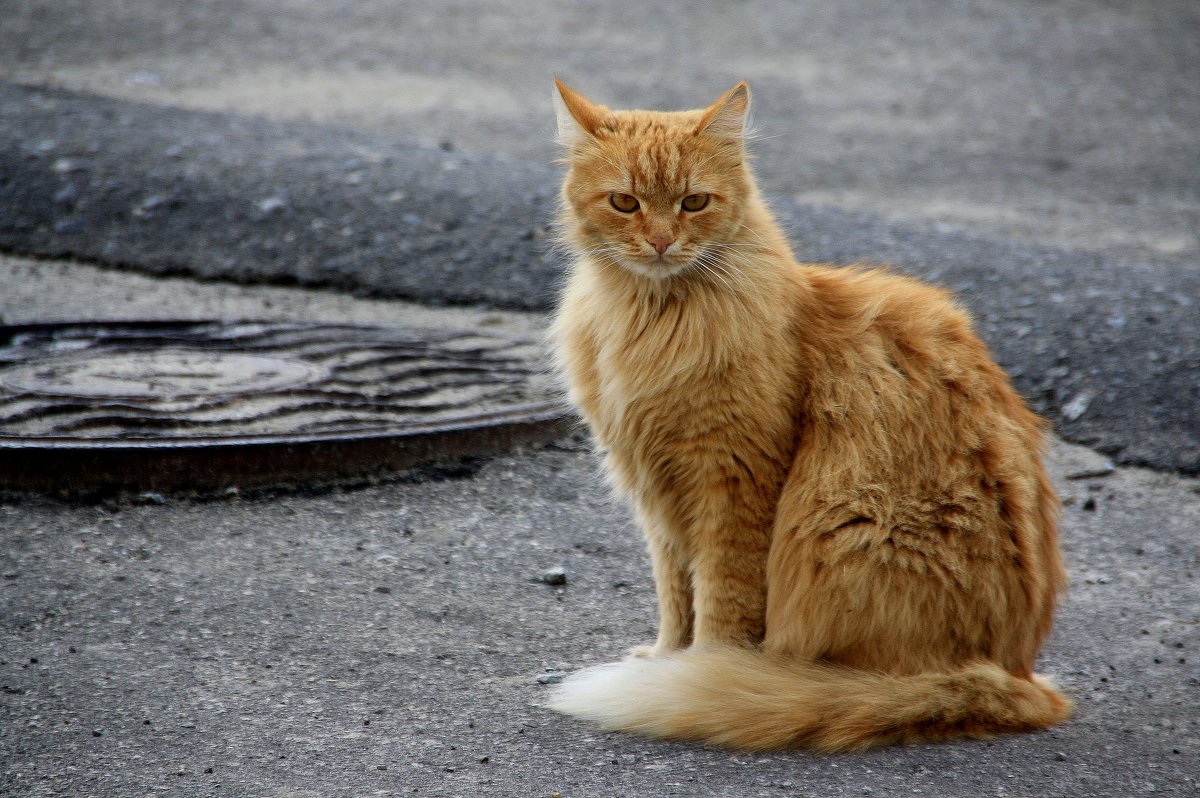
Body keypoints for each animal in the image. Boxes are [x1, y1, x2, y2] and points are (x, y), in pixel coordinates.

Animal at [549, 78, 1075, 748]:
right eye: (624, 202)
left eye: (694, 202)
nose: (663, 242)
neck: (652, 318)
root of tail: (1018, 677)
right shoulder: (656, 491)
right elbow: (675, 594)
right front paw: (668, 656)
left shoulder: (732, 478)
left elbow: (720, 597)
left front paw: (703, 671)